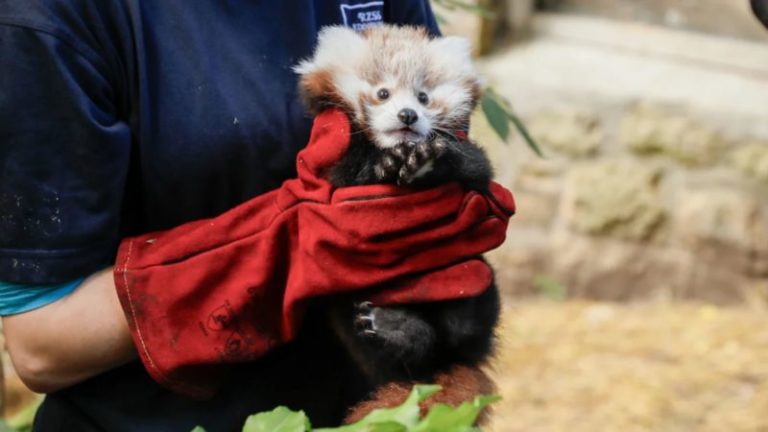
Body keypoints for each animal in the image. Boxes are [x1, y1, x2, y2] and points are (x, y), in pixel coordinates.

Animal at [292, 24, 498, 422]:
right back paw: (397, 330)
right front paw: (382, 165)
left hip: (476, 283)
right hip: (348, 308)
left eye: (423, 96)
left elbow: (476, 167)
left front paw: (429, 161)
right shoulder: (334, 167)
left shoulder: (472, 159)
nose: (407, 115)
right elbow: (348, 179)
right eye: (383, 92)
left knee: (468, 316)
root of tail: (442, 364)